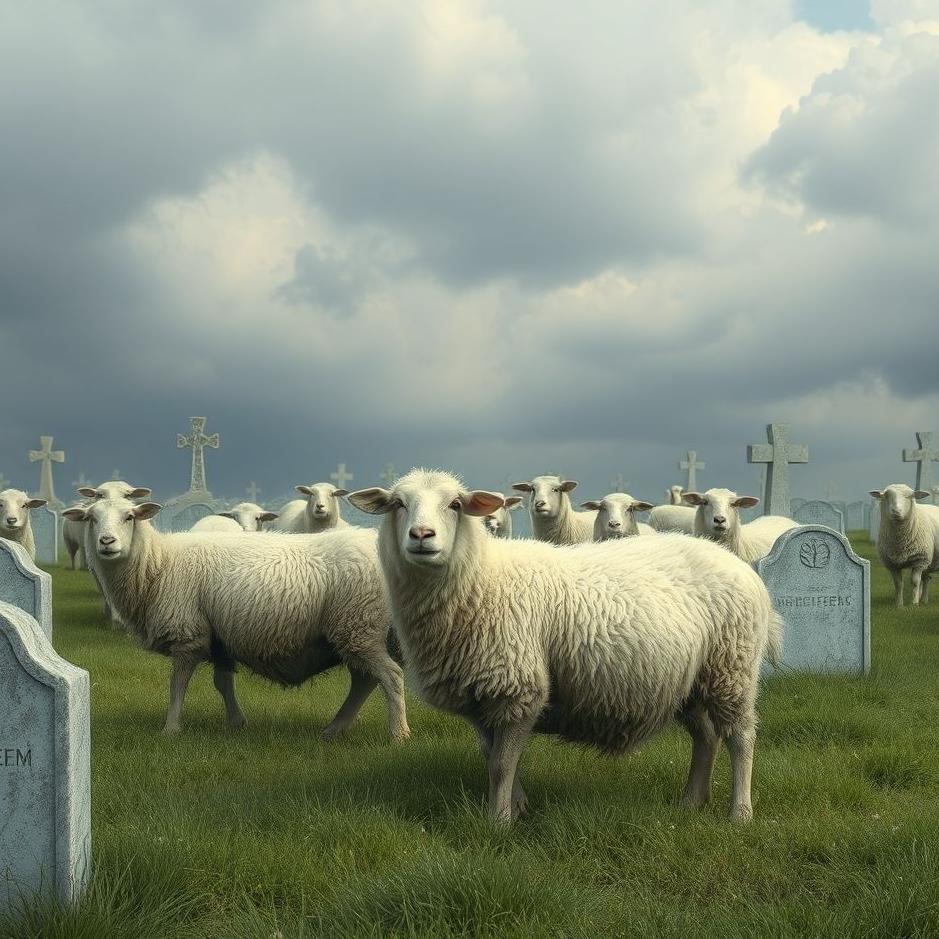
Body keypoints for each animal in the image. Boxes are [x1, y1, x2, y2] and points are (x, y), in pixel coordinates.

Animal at [63, 495, 409, 741]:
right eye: (92, 518)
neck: (157, 563)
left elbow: (177, 685)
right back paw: (336, 728)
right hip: (359, 630)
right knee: (364, 681)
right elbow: (222, 682)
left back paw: (398, 734)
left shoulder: (188, 633)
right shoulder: (219, 637)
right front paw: (236, 722)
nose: (106, 542)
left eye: (129, 516)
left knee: (389, 676)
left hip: (358, 623)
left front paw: (171, 728)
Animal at [349, 469, 781, 825]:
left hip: (732, 668)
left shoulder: (518, 687)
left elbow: (502, 764)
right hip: (687, 681)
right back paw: (692, 801)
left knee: (741, 737)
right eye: (397, 504)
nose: (422, 536)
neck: (480, 578)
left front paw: (498, 823)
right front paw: (517, 808)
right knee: (706, 736)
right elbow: (494, 759)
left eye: (455, 505)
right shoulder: (479, 694)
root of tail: (741, 566)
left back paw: (740, 813)